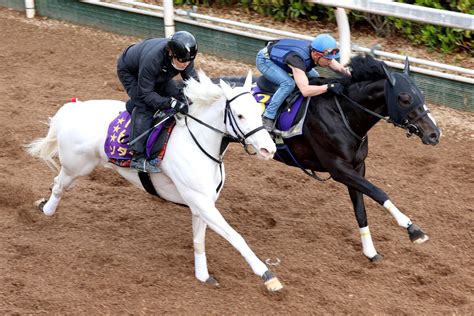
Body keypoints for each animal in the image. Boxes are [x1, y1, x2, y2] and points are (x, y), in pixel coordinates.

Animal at [26, 71, 286, 292]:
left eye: (259, 112)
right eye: (240, 115)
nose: (269, 149)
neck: (199, 143)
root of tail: (73, 108)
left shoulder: (202, 203)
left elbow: (199, 240)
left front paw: (203, 275)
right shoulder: (201, 202)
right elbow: (236, 237)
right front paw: (267, 275)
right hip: (76, 167)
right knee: (58, 184)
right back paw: (46, 210)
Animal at [248, 55, 440, 262]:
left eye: (421, 94)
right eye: (405, 98)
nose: (434, 134)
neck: (342, 114)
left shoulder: (357, 167)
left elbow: (361, 210)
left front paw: (370, 251)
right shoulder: (338, 169)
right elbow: (379, 192)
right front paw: (412, 229)